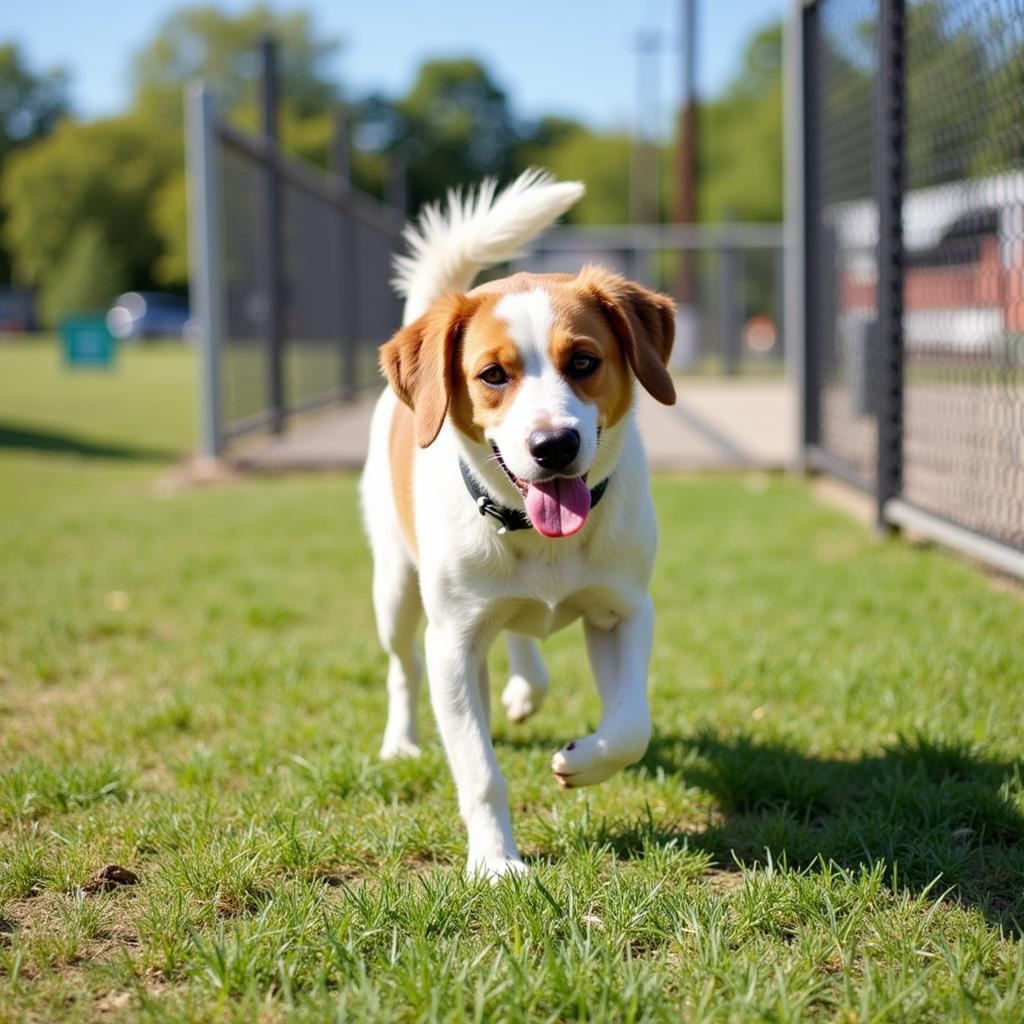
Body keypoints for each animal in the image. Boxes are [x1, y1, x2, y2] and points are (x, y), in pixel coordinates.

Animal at [358, 172, 671, 876]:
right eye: (493, 374)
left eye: (583, 362)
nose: (553, 445)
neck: (536, 538)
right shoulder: (452, 645)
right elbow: (479, 770)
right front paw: (495, 863)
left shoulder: (625, 610)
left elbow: (631, 726)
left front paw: (581, 760)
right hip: (395, 590)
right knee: (402, 667)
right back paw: (400, 741)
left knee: (521, 634)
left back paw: (528, 687)